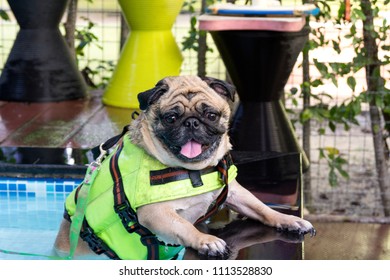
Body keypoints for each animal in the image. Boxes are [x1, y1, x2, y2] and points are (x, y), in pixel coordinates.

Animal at [54, 75, 316, 260]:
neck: (194, 172)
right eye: (171, 118)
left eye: (210, 115)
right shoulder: (156, 212)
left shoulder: (234, 192)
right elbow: (185, 227)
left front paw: (288, 220)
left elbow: (261, 207)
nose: (191, 123)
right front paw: (205, 240)